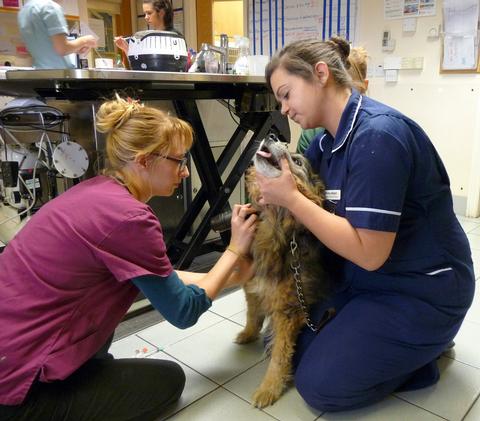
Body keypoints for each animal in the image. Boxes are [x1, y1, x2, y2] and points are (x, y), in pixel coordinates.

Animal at [235, 135, 330, 406]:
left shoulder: (288, 311)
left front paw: (268, 389)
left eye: (297, 161)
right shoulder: (253, 288)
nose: (272, 136)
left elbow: (279, 354)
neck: (274, 223)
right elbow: (253, 315)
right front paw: (247, 334)